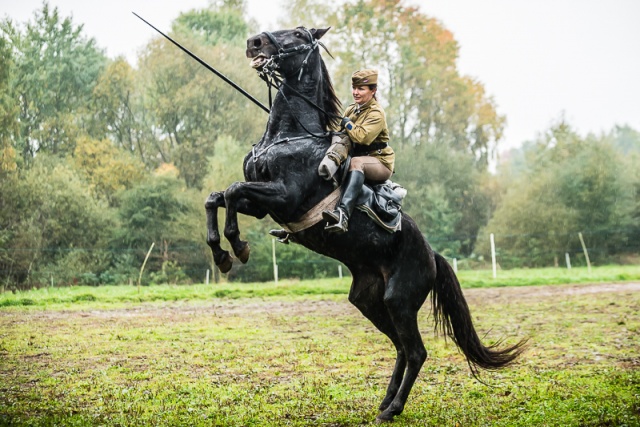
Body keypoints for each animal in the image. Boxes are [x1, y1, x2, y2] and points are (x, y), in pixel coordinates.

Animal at [205, 26, 524, 424]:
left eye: (298, 33)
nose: (254, 43)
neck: (290, 134)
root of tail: (432, 256)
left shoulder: (284, 196)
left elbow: (232, 191)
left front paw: (236, 246)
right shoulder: (263, 204)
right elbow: (217, 197)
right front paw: (221, 252)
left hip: (398, 300)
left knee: (416, 351)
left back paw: (393, 409)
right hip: (368, 300)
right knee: (402, 348)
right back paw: (386, 402)